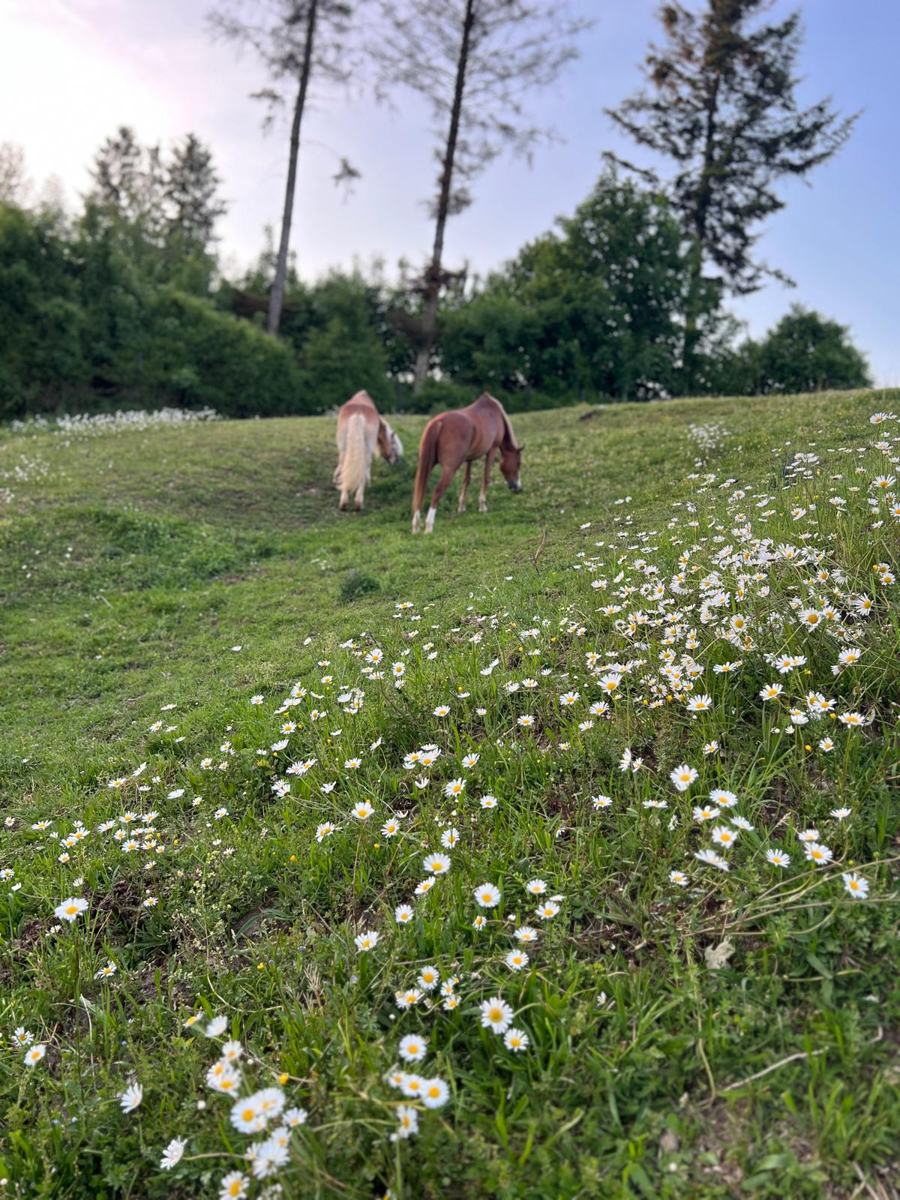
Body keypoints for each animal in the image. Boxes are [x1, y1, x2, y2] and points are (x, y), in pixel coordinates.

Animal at [411, 392, 522, 534]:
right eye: (518, 464)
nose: (517, 487)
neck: (494, 412)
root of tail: (439, 422)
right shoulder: (492, 450)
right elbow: (485, 477)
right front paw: (482, 506)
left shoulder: (469, 459)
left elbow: (466, 479)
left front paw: (461, 507)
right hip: (449, 469)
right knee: (437, 491)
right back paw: (429, 525)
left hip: (426, 466)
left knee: (420, 490)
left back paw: (416, 526)